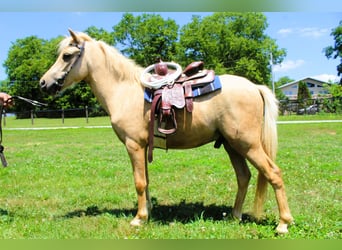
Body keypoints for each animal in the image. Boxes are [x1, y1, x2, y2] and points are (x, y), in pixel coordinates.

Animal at [38, 29, 292, 234]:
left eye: (67, 55)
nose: (43, 83)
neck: (124, 90)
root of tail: (255, 87)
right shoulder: (142, 147)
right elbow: (146, 181)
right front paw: (147, 213)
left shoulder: (133, 145)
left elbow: (139, 182)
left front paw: (138, 219)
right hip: (232, 145)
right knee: (244, 176)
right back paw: (234, 216)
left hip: (248, 144)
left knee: (273, 173)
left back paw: (283, 223)